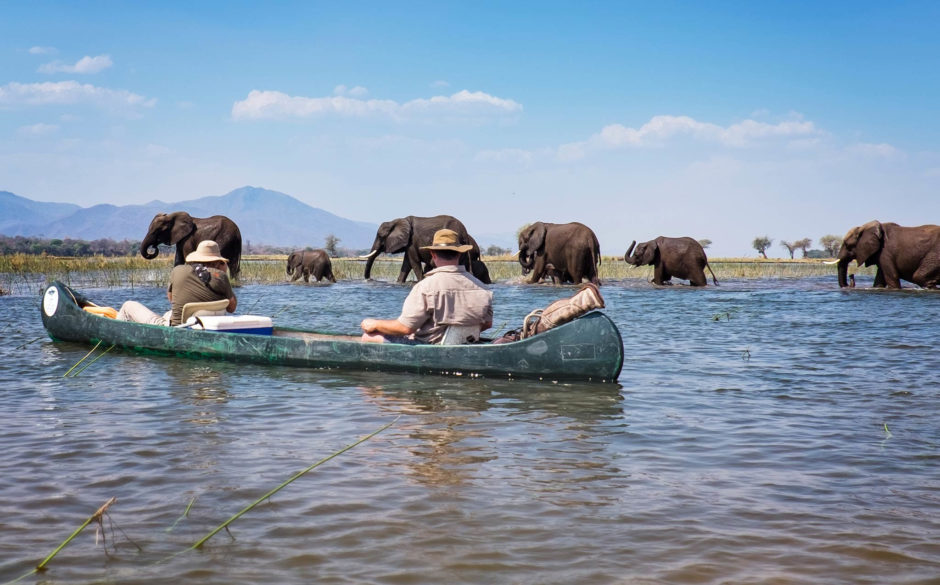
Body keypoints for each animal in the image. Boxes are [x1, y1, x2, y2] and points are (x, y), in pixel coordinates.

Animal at [362, 217, 492, 286]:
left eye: (380, 236)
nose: (369, 279)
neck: (398, 220)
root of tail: (464, 232)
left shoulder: (412, 241)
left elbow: (413, 262)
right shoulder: (410, 243)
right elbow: (407, 264)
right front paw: (400, 282)